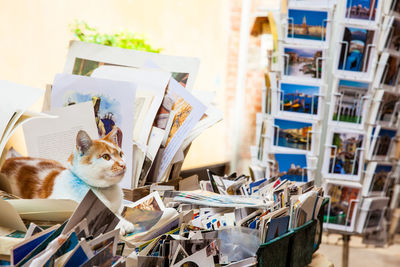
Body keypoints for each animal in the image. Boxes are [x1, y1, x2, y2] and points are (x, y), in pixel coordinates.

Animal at [0, 127, 135, 234]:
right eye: (106, 157)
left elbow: (116, 212)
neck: (106, 191)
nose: (123, 165)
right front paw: (121, 224)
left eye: (121, 154)